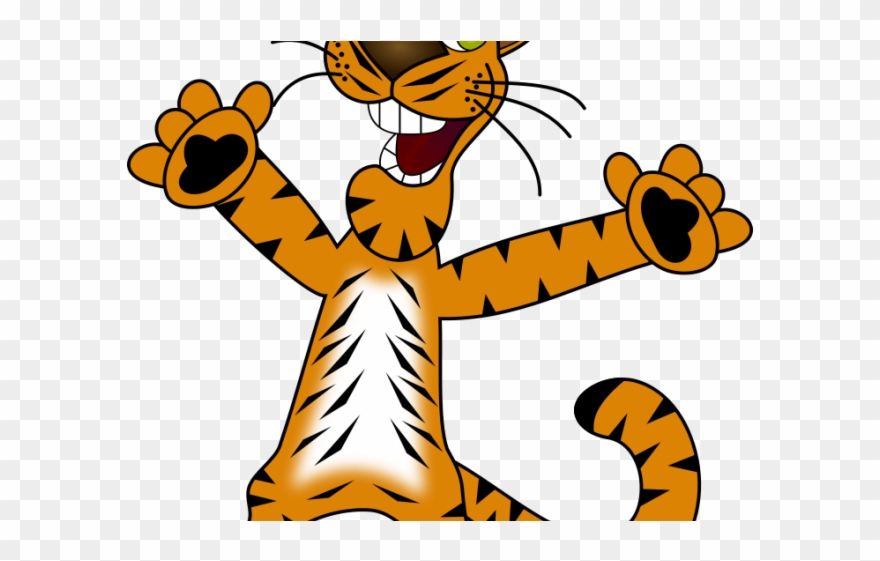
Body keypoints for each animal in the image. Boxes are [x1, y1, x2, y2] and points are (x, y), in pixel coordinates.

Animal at [128, 40, 752, 521]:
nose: (392, 60)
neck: (390, 239)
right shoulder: (327, 264)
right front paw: (211, 150)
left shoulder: (461, 285)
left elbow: (553, 254)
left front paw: (665, 216)